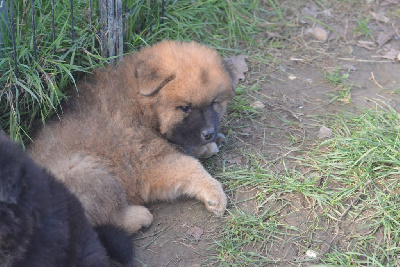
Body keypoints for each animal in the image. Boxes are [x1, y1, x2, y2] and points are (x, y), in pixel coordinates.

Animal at [28, 40, 234, 236]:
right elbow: (191, 166)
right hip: (90, 170)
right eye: (185, 108)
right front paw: (215, 193)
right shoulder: (150, 161)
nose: (209, 133)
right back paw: (139, 216)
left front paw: (206, 146)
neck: (143, 105)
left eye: (214, 103)